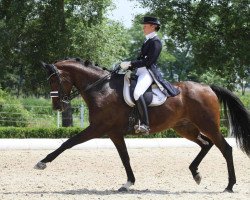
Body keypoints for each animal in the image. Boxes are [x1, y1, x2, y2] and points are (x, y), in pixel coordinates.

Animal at [35, 57, 250, 192]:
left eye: (55, 81)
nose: (57, 107)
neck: (101, 89)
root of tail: (208, 87)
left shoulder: (98, 128)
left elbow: (68, 143)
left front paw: (42, 162)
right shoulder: (114, 133)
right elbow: (125, 158)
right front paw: (128, 183)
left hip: (208, 125)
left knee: (225, 148)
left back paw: (230, 186)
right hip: (184, 127)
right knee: (206, 144)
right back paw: (195, 174)